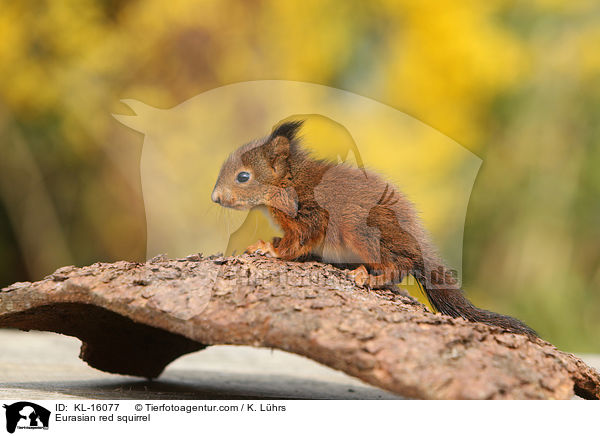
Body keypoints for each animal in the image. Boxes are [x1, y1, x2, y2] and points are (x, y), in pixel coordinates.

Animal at [211, 121, 536, 336]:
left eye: (243, 177)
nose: (215, 198)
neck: (289, 181)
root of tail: (416, 241)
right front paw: (269, 242)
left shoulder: (310, 214)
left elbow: (299, 241)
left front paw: (270, 249)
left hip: (362, 231)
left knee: (401, 265)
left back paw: (371, 277)